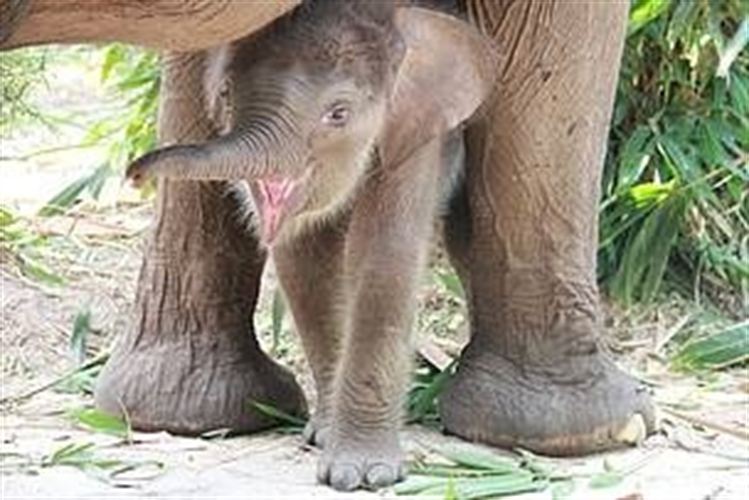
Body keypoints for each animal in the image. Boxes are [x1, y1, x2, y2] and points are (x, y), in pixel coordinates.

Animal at [1, 0, 655, 490]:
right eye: (228, 99)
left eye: (339, 114)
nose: (135, 172)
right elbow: (306, 261)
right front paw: (329, 439)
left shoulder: (415, 129)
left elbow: (384, 256)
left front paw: (362, 474)